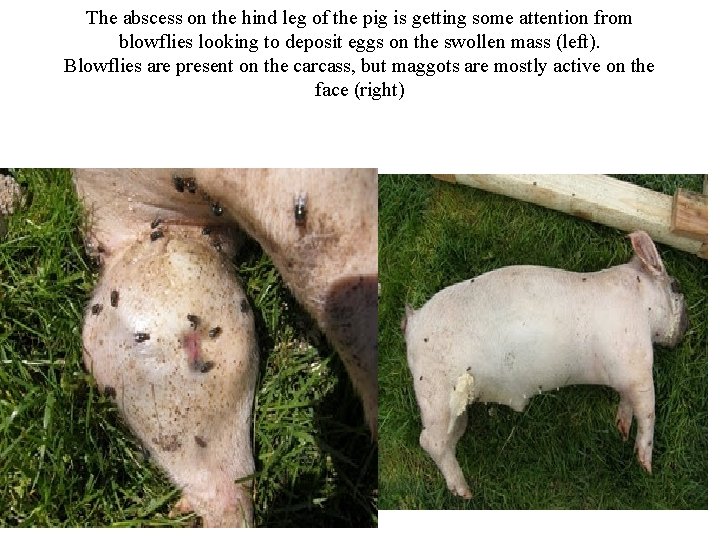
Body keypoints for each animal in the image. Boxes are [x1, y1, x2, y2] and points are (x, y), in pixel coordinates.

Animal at [402, 231, 688, 499]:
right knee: (429, 441)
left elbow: (627, 401)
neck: (642, 304)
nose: (686, 328)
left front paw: (621, 430)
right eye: (675, 286)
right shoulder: (635, 366)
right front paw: (646, 467)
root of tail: (413, 324)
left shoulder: (621, 375)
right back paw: (464, 492)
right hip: (436, 392)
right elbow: (648, 410)